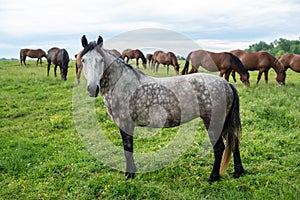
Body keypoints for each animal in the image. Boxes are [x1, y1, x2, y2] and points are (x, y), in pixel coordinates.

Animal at [81, 35, 245, 183]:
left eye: (101, 60)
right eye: (83, 60)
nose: (92, 89)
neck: (122, 84)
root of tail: (226, 84)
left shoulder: (125, 124)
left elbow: (128, 149)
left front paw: (129, 174)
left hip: (213, 122)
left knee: (219, 148)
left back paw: (213, 177)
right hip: (225, 122)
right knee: (234, 142)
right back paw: (239, 172)